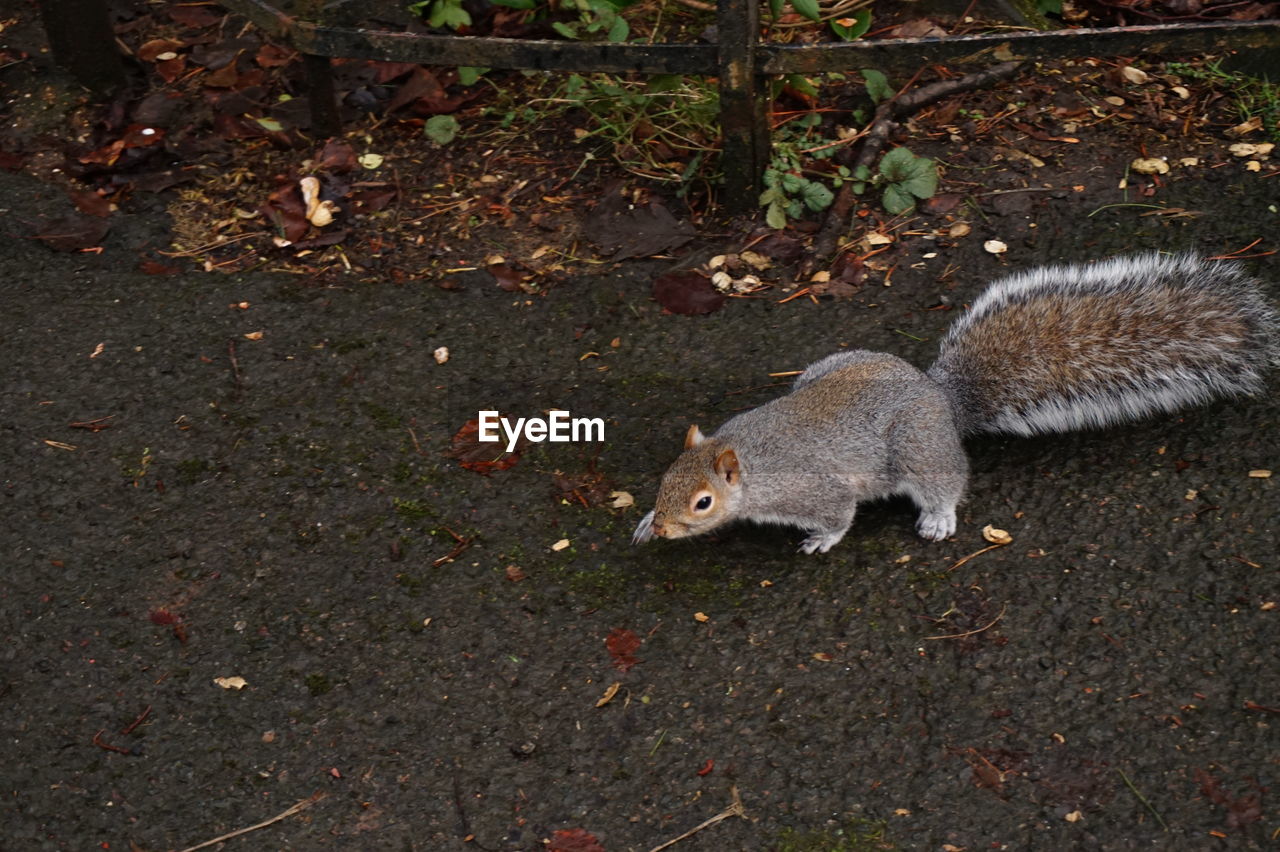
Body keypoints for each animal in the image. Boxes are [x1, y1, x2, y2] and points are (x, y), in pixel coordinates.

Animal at [632, 252, 1280, 555]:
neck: (745, 457)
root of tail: (937, 395)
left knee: (945, 479)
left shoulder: (813, 489)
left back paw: (938, 517)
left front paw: (823, 539)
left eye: (703, 502)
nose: (663, 526)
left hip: (917, 448)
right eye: (663, 481)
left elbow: (839, 514)